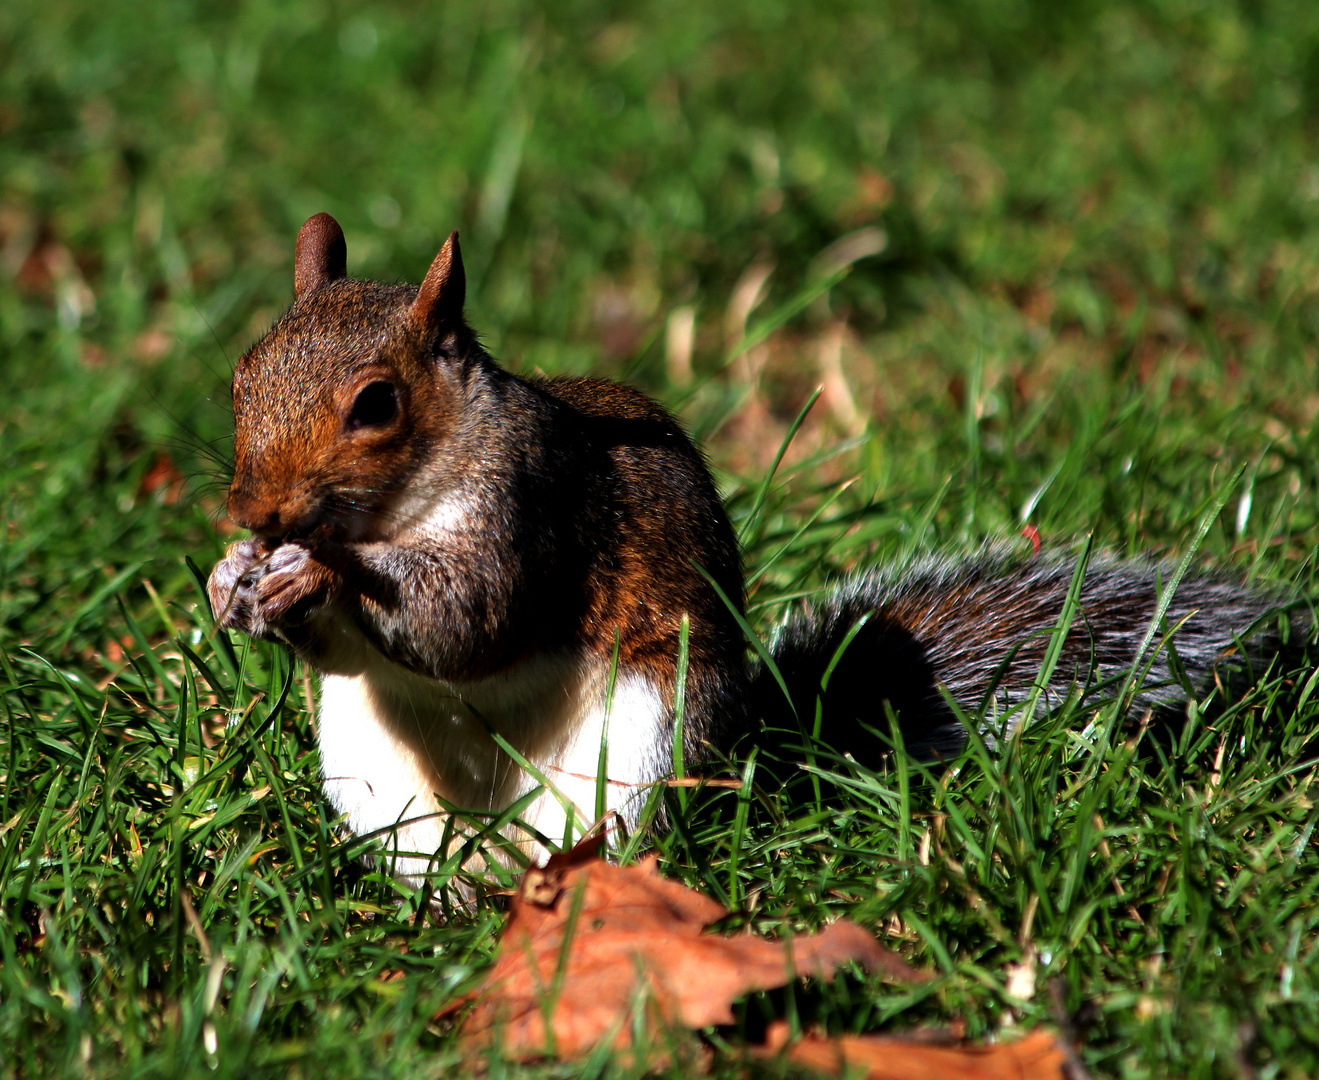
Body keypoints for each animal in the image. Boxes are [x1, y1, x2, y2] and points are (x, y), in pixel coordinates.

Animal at [208, 213, 1297, 886]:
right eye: (241, 373)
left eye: (375, 405)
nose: (253, 509)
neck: (401, 506)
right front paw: (236, 585)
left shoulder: (534, 512)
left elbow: (466, 624)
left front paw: (323, 569)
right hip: (373, 778)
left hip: (640, 750)